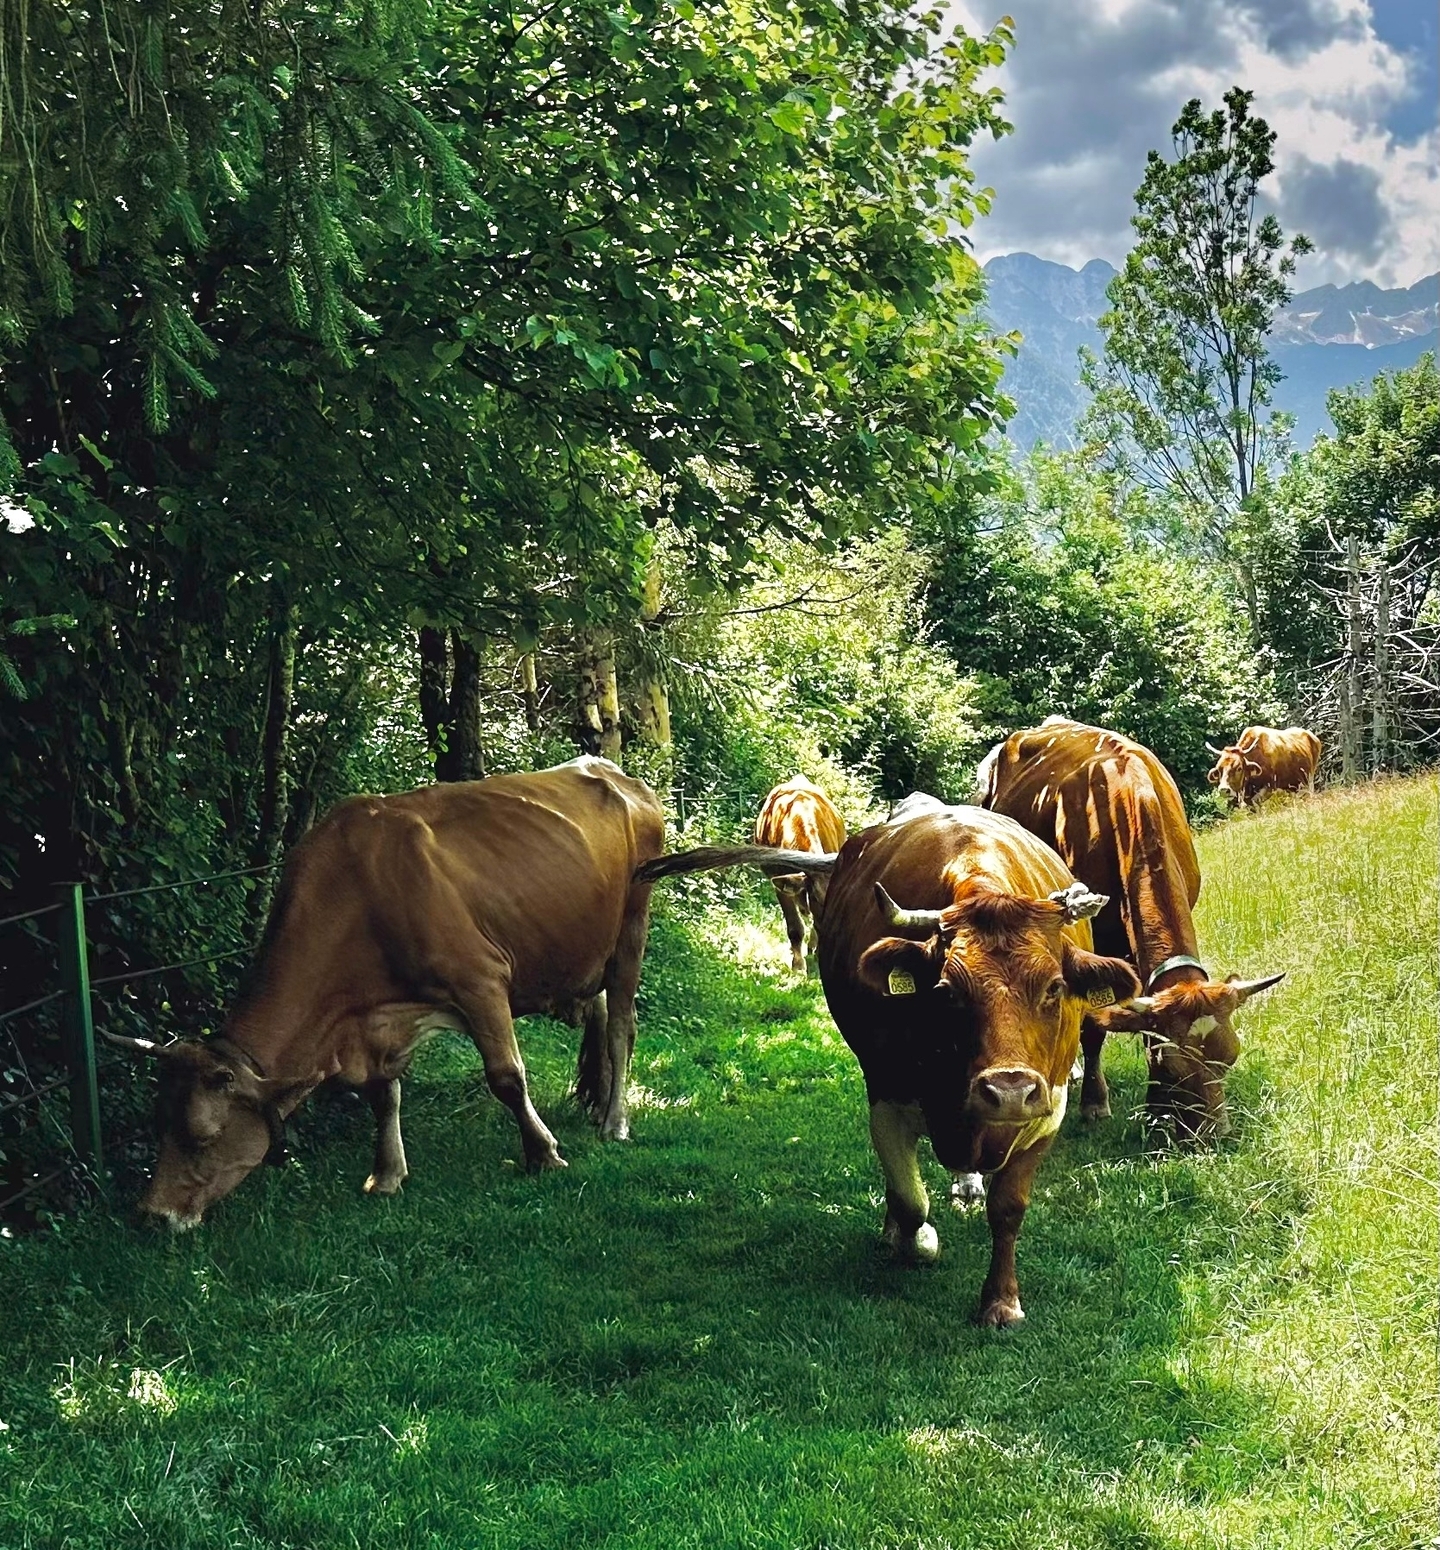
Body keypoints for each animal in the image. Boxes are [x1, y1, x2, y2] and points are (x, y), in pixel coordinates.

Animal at [103, 758, 664, 1229]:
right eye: (158, 1121)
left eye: (202, 1134)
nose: (152, 1214)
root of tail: (613, 771)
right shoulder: (373, 1019)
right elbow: (383, 1093)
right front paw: (387, 1174)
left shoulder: (480, 980)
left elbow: (506, 1077)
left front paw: (543, 1153)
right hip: (581, 950)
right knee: (598, 1012)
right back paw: (595, 1100)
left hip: (632, 926)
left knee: (622, 1025)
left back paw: (614, 1121)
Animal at [638, 804, 1140, 1327]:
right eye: (946, 992)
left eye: (1055, 987)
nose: (1009, 1091)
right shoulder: (885, 1095)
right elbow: (910, 1199)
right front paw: (912, 1238)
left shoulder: (1049, 1107)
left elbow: (1008, 1208)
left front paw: (1002, 1301)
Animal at [978, 718, 1283, 1139]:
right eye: (1171, 1065)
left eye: (1230, 1056)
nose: (1212, 1134)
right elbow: (1093, 1025)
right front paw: (1096, 1102)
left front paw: (1155, 1107)